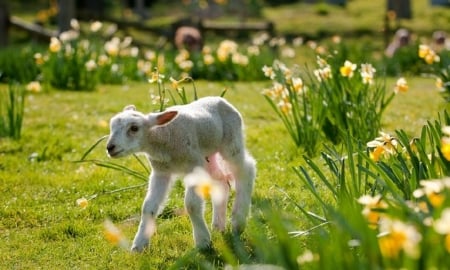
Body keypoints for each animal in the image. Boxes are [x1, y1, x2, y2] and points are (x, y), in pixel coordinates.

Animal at [103, 96, 255, 252]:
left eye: (134, 128)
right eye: (111, 126)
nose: (110, 148)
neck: (164, 137)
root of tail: (220, 99)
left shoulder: (193, 166)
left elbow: (191, 205)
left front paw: (202, 241)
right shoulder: (161, 172)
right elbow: (148, 207)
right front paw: (139, 245)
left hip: (231, 142)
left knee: (246, 170)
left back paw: (238, 222)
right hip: (207, 156)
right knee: (221, 182)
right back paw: (218, 227)